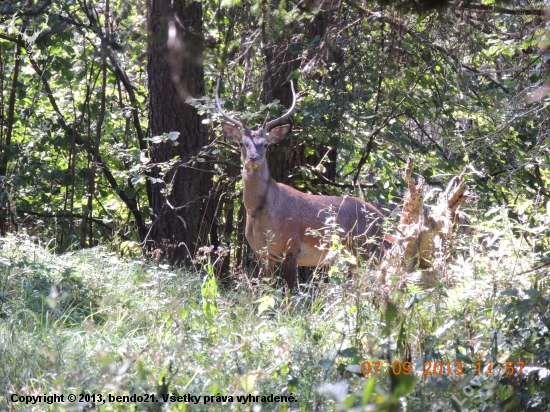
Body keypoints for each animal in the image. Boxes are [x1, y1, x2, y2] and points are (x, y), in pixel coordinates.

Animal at [217, 78, 388, 290]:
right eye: (242, 143)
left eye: (265, 144)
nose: (253, 158)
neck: (260, 215)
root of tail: (382, 218)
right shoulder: (261, 253)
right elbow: (266, 290)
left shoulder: (292, 246)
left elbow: (290, 292)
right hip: (356, 255)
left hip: (370, 248)